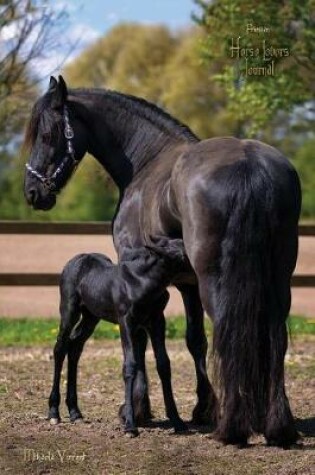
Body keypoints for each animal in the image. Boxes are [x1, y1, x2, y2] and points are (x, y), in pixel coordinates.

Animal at [48, 240, 189, 436]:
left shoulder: (157, 321)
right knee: (60, 348)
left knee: (75, 346)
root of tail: (75, 260)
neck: (143, 283)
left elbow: (163, 364)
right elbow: (129, 366)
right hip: (69, 310)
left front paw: (177, 420)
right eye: (183, 255)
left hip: (91, 316)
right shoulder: (126, 322)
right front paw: (130, 425)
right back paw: (54, 412)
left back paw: (75, 412)